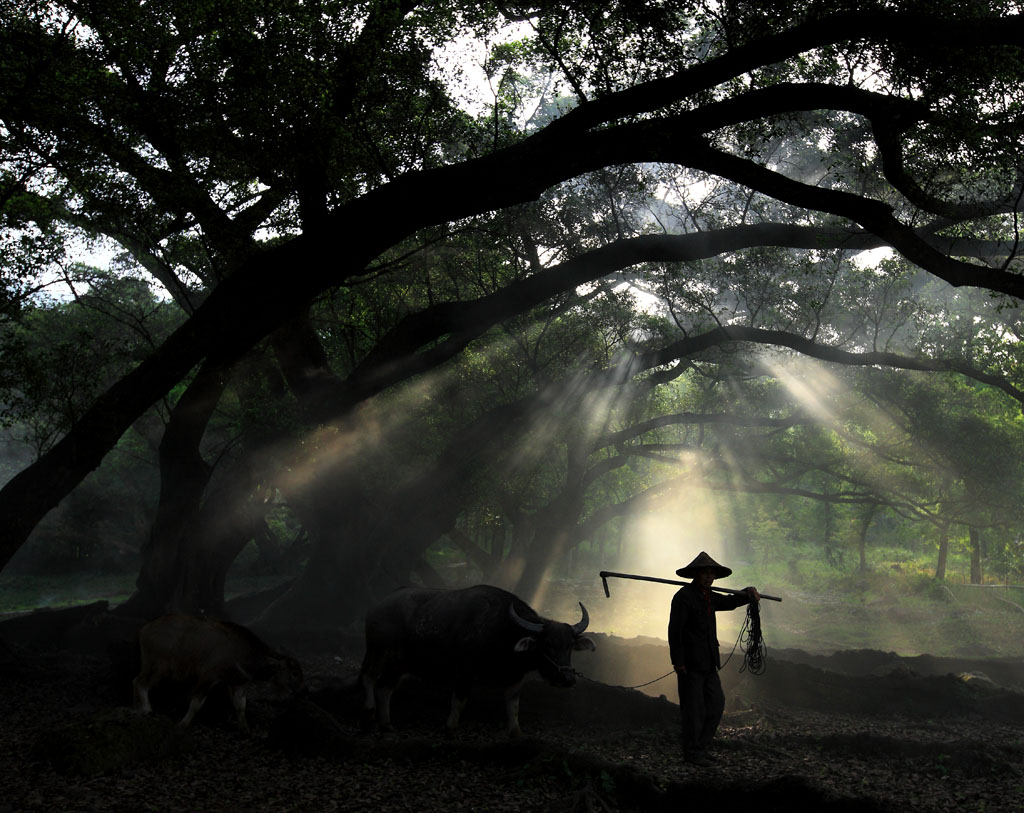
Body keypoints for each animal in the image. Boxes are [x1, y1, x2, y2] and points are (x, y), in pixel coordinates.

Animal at [132, 614, 301, 729]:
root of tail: (144, 630)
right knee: (140, 682)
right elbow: (196, 704)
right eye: (294, 673)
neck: (244, 652)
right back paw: (147, 710)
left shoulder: (238, 683)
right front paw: (183, 724)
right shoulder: (209, 677)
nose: (301, 689)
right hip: (158, 667)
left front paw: (245, 728)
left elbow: (241, 706)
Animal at [364, 581, 598, 733]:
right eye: (547, 645)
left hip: (375, 653)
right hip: (393, 659)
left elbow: (513, 706)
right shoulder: (465, 672)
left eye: (569, 646)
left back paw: (370, 711)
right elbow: (459, 701)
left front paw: (515, 731)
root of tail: (377, 607)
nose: (567, 679)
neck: (504, 630)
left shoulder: (516, 679)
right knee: (382, 687)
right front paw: (451, 727)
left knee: (369, 676)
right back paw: (386, 724)